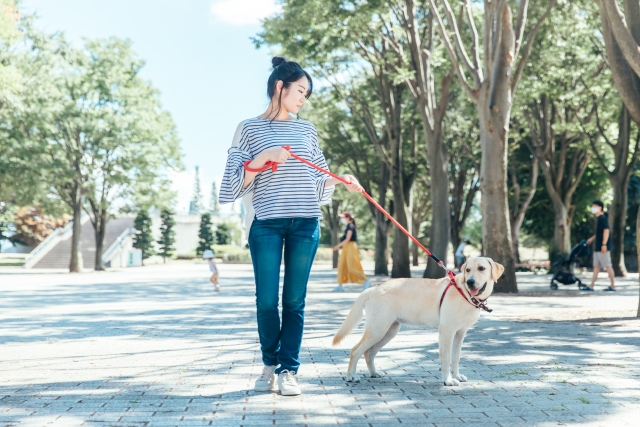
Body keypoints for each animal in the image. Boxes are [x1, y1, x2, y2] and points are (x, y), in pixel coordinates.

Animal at [332, 258, 502, 388]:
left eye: (481, 268)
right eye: (467, 270)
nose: (470, 282)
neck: (465, 293)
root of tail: (375, 288)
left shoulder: (460, 334)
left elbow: (456, 357)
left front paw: (456, 376)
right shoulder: (446, 332)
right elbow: (446, 358)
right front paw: (448, 380)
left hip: (388, 331)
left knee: (369, 352)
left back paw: (374, 373)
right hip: (377, 329)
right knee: (356, 350)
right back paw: (351, 376)